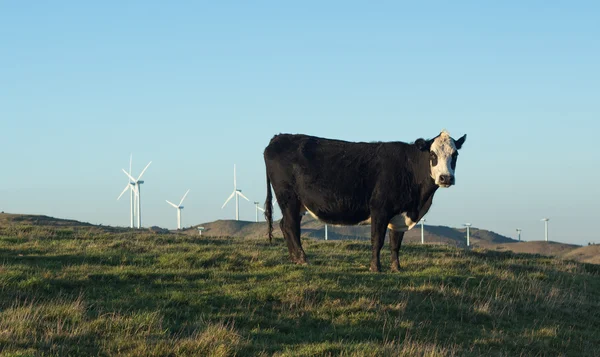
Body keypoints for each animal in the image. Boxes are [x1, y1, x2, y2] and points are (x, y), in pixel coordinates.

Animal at [264, 129, 466, 272]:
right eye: (432, 155)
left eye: (455, 155)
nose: (446, 178)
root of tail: (277, 138)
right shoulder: (380, 209)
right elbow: (377, 240)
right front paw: (376, 268)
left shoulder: (399, 214)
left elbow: (396, 243)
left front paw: (397, 268)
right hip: (288, 197)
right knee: (290, 226)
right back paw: (302, 259)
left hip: (296, 203)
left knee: (285, 225)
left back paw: (294, 259)